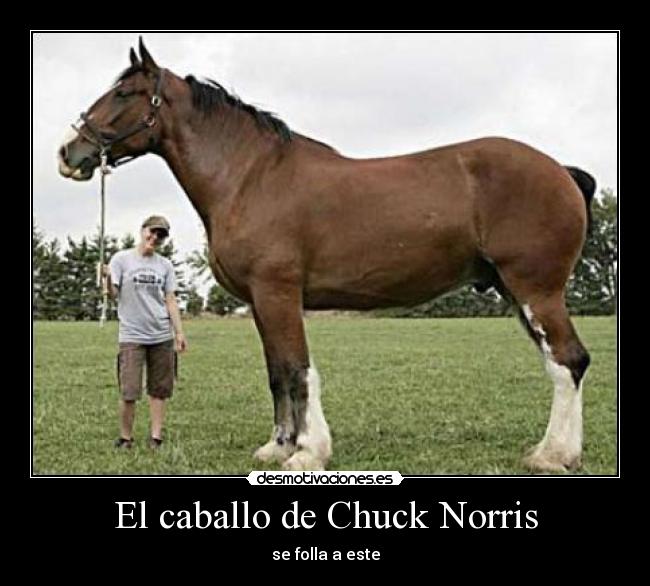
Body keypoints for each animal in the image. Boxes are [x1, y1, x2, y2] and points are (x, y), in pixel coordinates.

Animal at [58, 38, 595, 472]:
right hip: (516, 290)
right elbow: (277, 372)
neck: (249, 176)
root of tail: (561, 171)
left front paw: (307, 452)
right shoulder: (260, 302)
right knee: (563, 362)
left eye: (124, 94)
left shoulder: (278, 293)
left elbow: (298, 370)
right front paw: (277, 446)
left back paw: (551, 455)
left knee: (567, 361)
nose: (69, 152)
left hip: (535, 289)